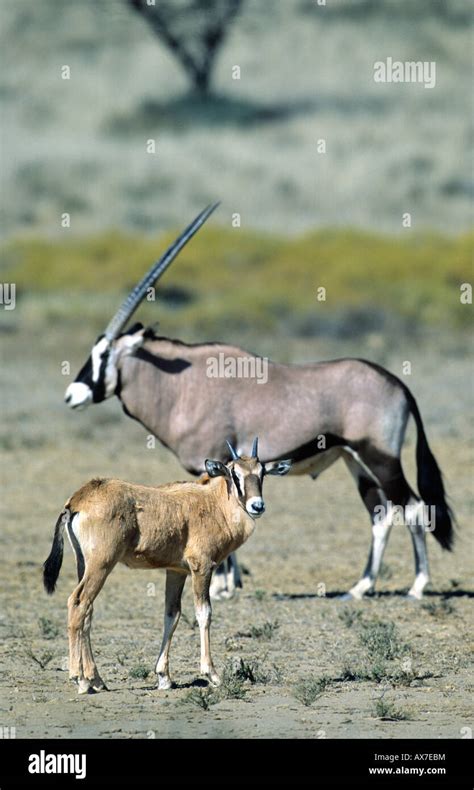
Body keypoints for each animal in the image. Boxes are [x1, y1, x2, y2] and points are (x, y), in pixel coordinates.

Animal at [42, 442, 290, 696]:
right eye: (234, 474)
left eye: (262, 473)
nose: (257, 506)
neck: (213, 503)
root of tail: (78, 499)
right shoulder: (202, 568)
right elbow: (204, 613)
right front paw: (212, 674)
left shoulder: (176, 572)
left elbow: (172, 614)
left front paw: (164, 677)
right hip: (101, 565)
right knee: (78, 602)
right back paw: (80, 680)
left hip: (85, 566)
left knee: (87, 612)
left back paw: (96, 679)